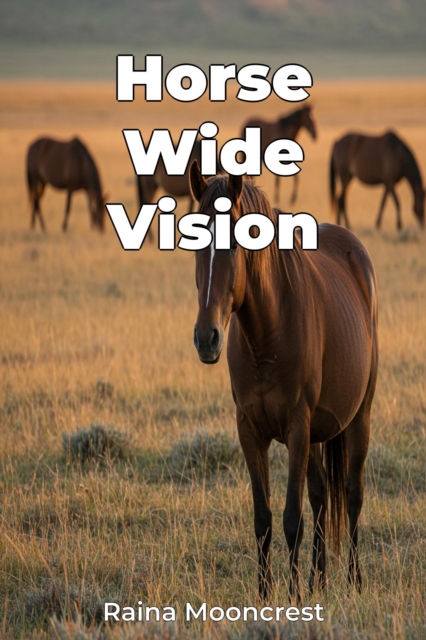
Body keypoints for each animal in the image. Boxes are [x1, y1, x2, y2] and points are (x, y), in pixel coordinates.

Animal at [190, 161, 378, 602]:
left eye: (235, 244)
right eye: (194, 245)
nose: (206, 338)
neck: (267, 336)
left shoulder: (296, 427)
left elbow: (293, 517)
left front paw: (291, 598)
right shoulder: (249, 430)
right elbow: (263, 518)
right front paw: (264, 594)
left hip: (357, 417)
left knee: (352, 493)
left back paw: (354, 581)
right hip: (317, 433)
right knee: (322, 494)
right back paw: (318, 580)